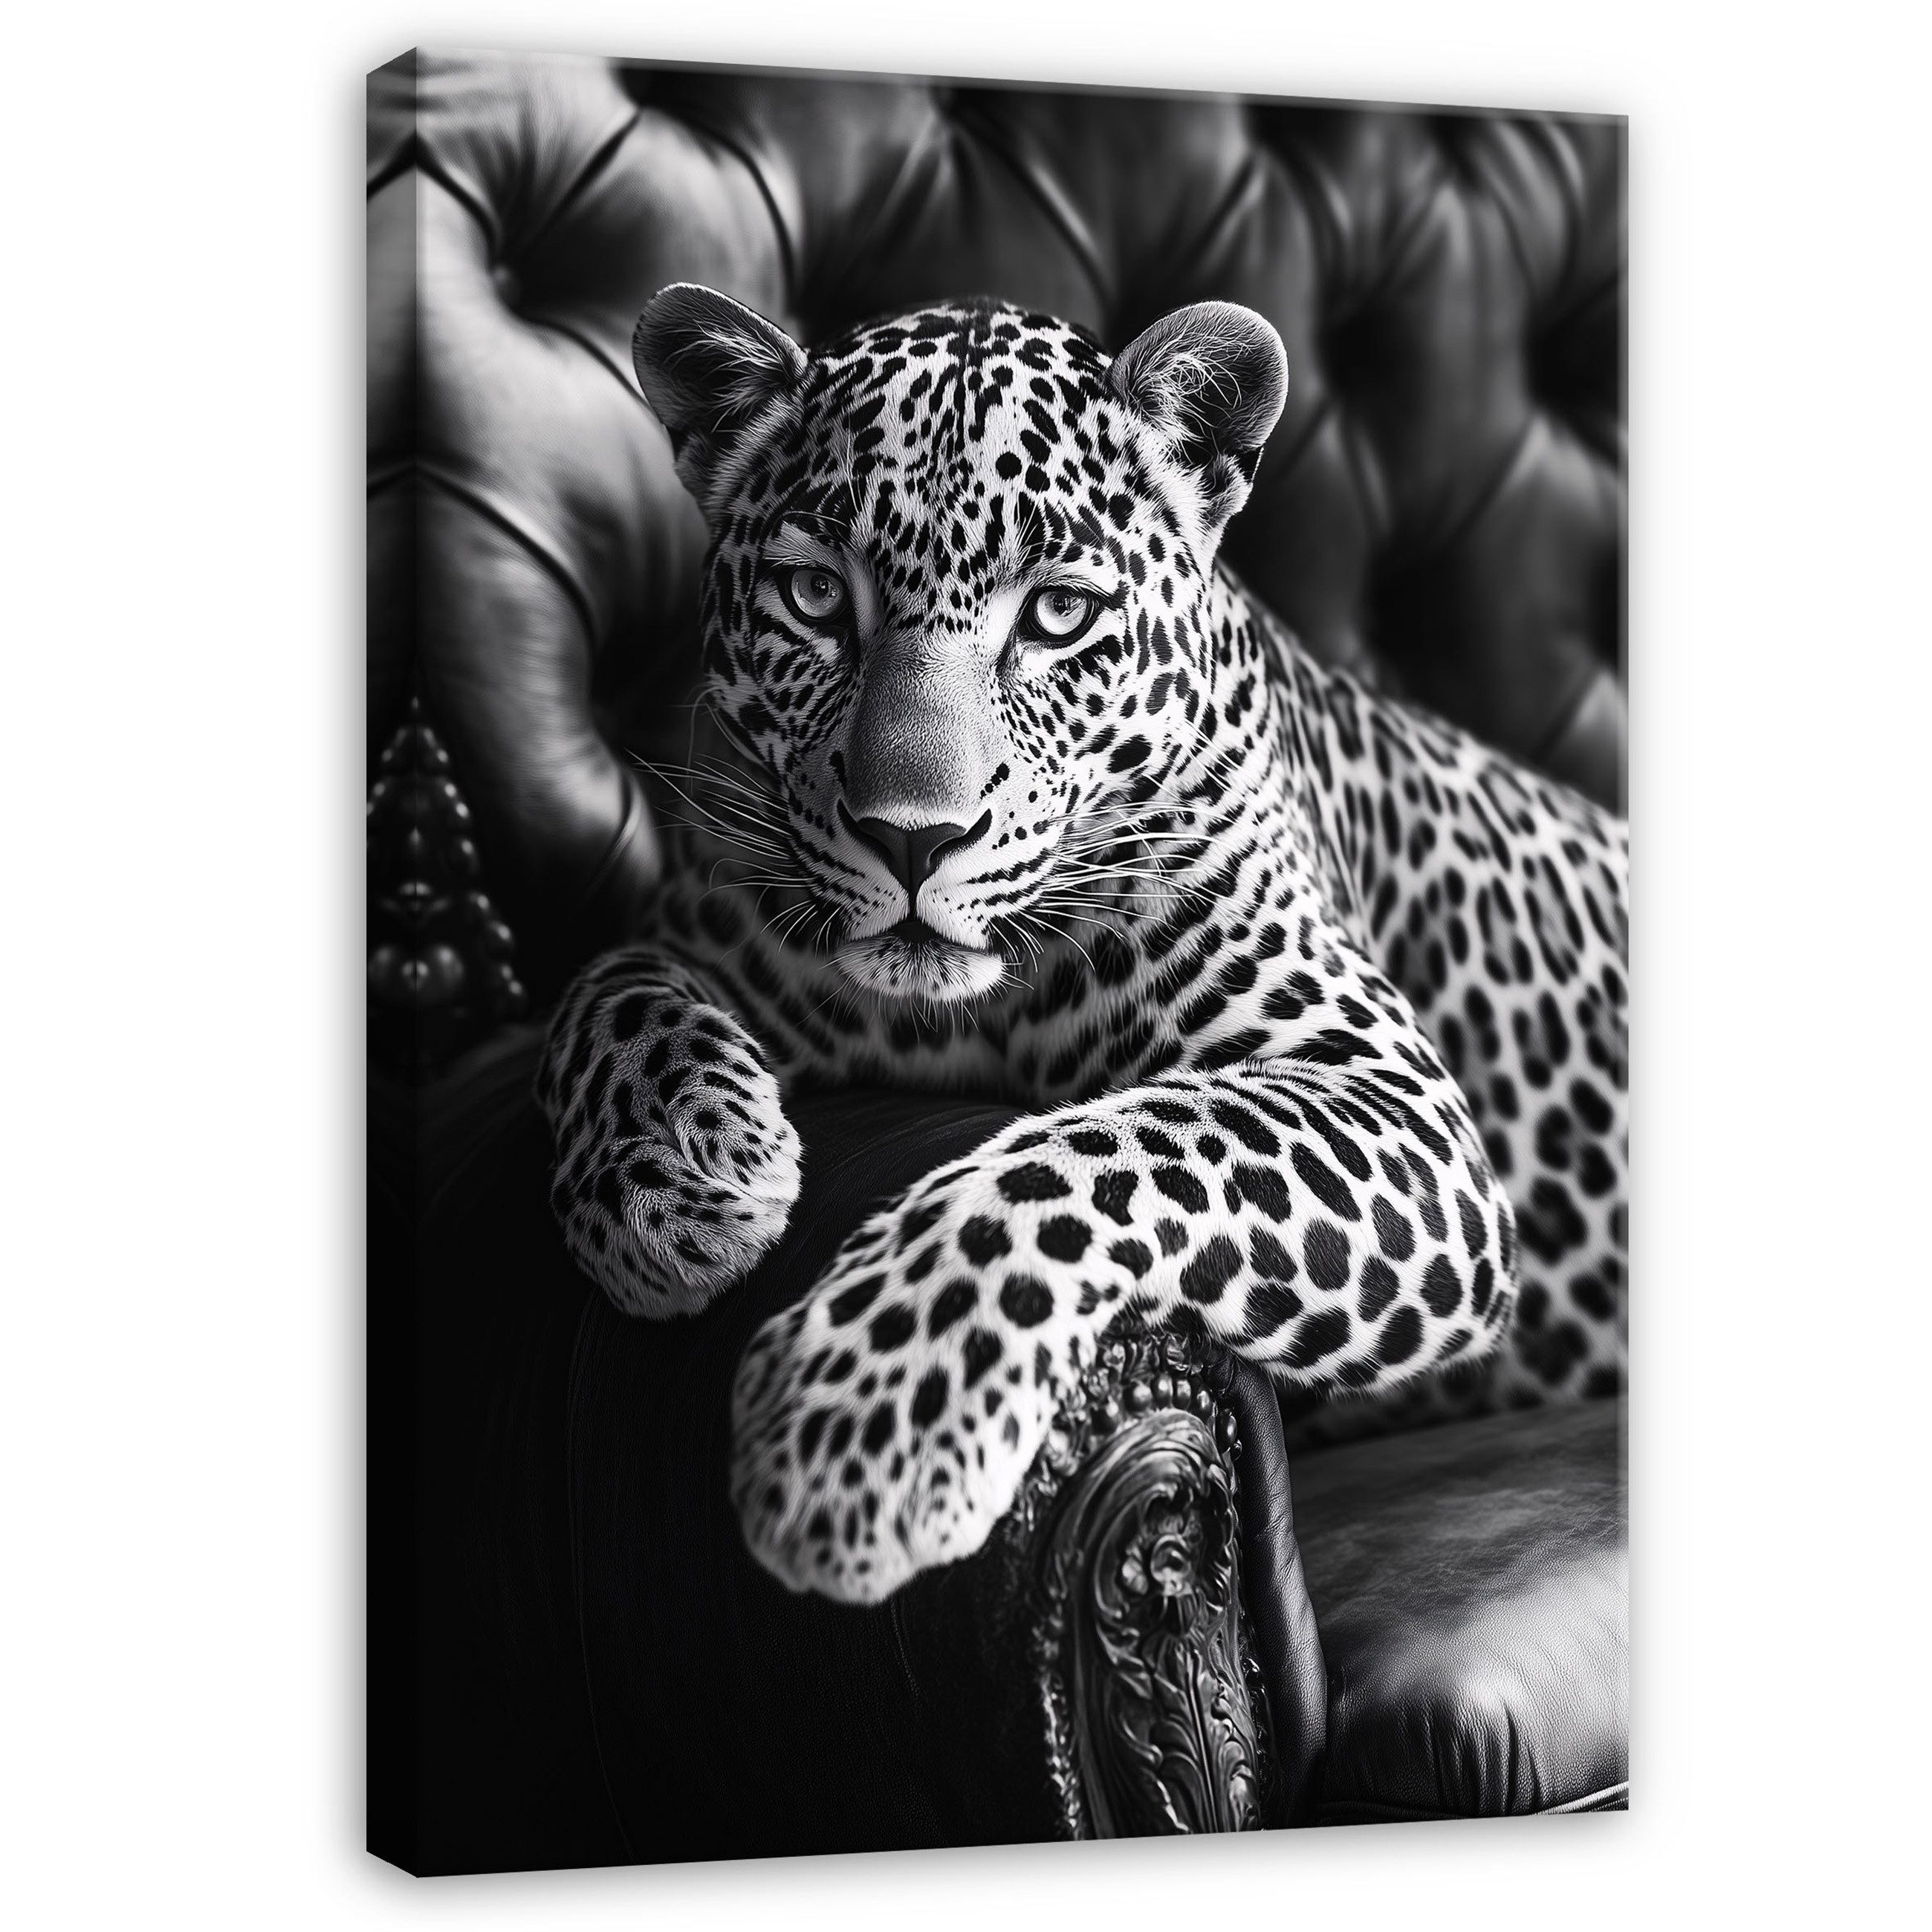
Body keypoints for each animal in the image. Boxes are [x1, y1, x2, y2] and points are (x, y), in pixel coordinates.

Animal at [536, 283, 1629, 1607]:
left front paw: (861, 1429)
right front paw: (680, 1175)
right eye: (815, 600)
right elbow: (603, 989)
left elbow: (1094, 1154)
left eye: (1058, 614)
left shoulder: (1392, 1099)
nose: (913, 838)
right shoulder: (705, 919)